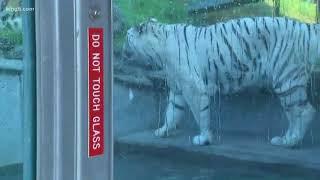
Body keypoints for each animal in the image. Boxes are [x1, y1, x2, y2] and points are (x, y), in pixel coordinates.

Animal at [121, 17, 318, 148]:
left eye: (127, 37)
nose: (121, 48)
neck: (159, 52)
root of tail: (304, 26)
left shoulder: (193, 87)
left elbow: (200, 114)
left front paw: (204, 138)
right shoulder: (177, 88)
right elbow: (171, 113)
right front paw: (163, 131)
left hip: (286, 79)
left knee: (306, 111)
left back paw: (291, 142)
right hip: (287, 83)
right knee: (294, 114)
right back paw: (285, 139)